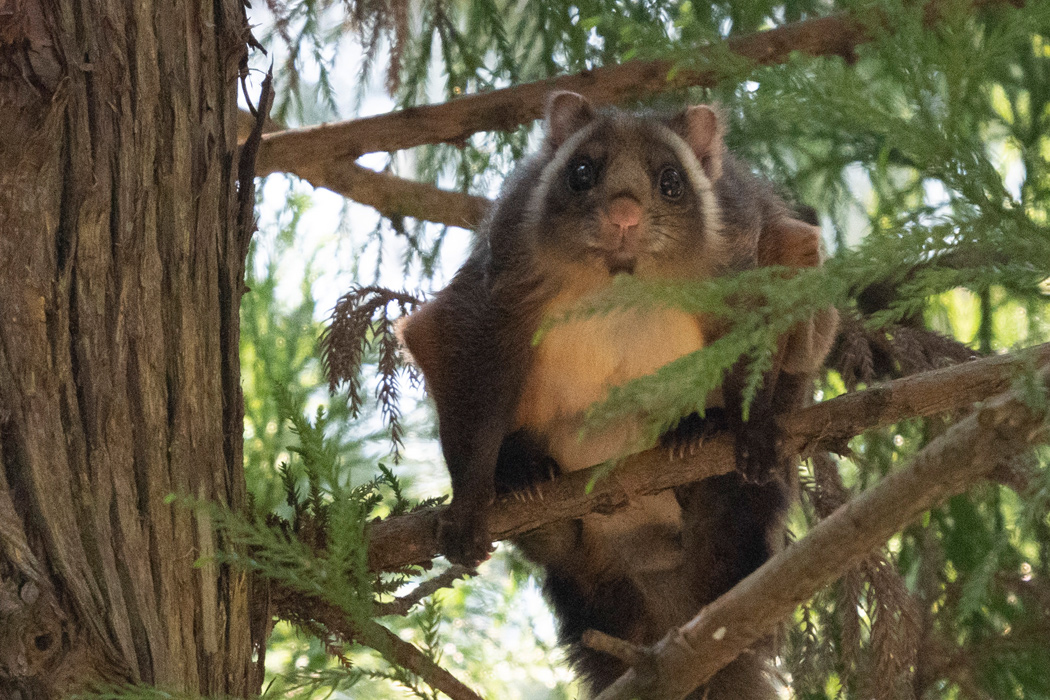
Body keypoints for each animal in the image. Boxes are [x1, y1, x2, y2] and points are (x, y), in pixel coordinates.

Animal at [396, 91, 839, 696]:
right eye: (583, 173)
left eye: (671, 181)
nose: (624, 213)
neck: (620, 275)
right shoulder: (507, 261)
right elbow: (444, 334)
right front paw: (469, 503)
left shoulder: (739, 243)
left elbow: (768, 300)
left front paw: (750, 430)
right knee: (559, 545)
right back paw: (526, 478)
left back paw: (702, 443)